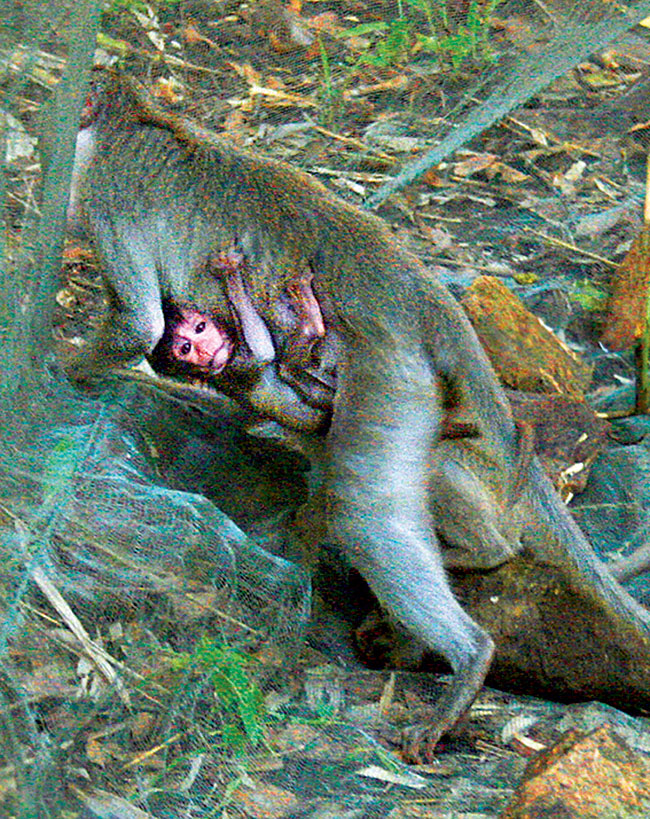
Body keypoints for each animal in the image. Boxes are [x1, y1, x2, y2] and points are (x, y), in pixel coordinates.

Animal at [63, 68, 650, 760]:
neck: (138, 122)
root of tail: (418, 290)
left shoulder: (109, 197)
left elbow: (138, 324)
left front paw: (60, 363)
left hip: (389, 378)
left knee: (367, 513)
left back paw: (469, 656)